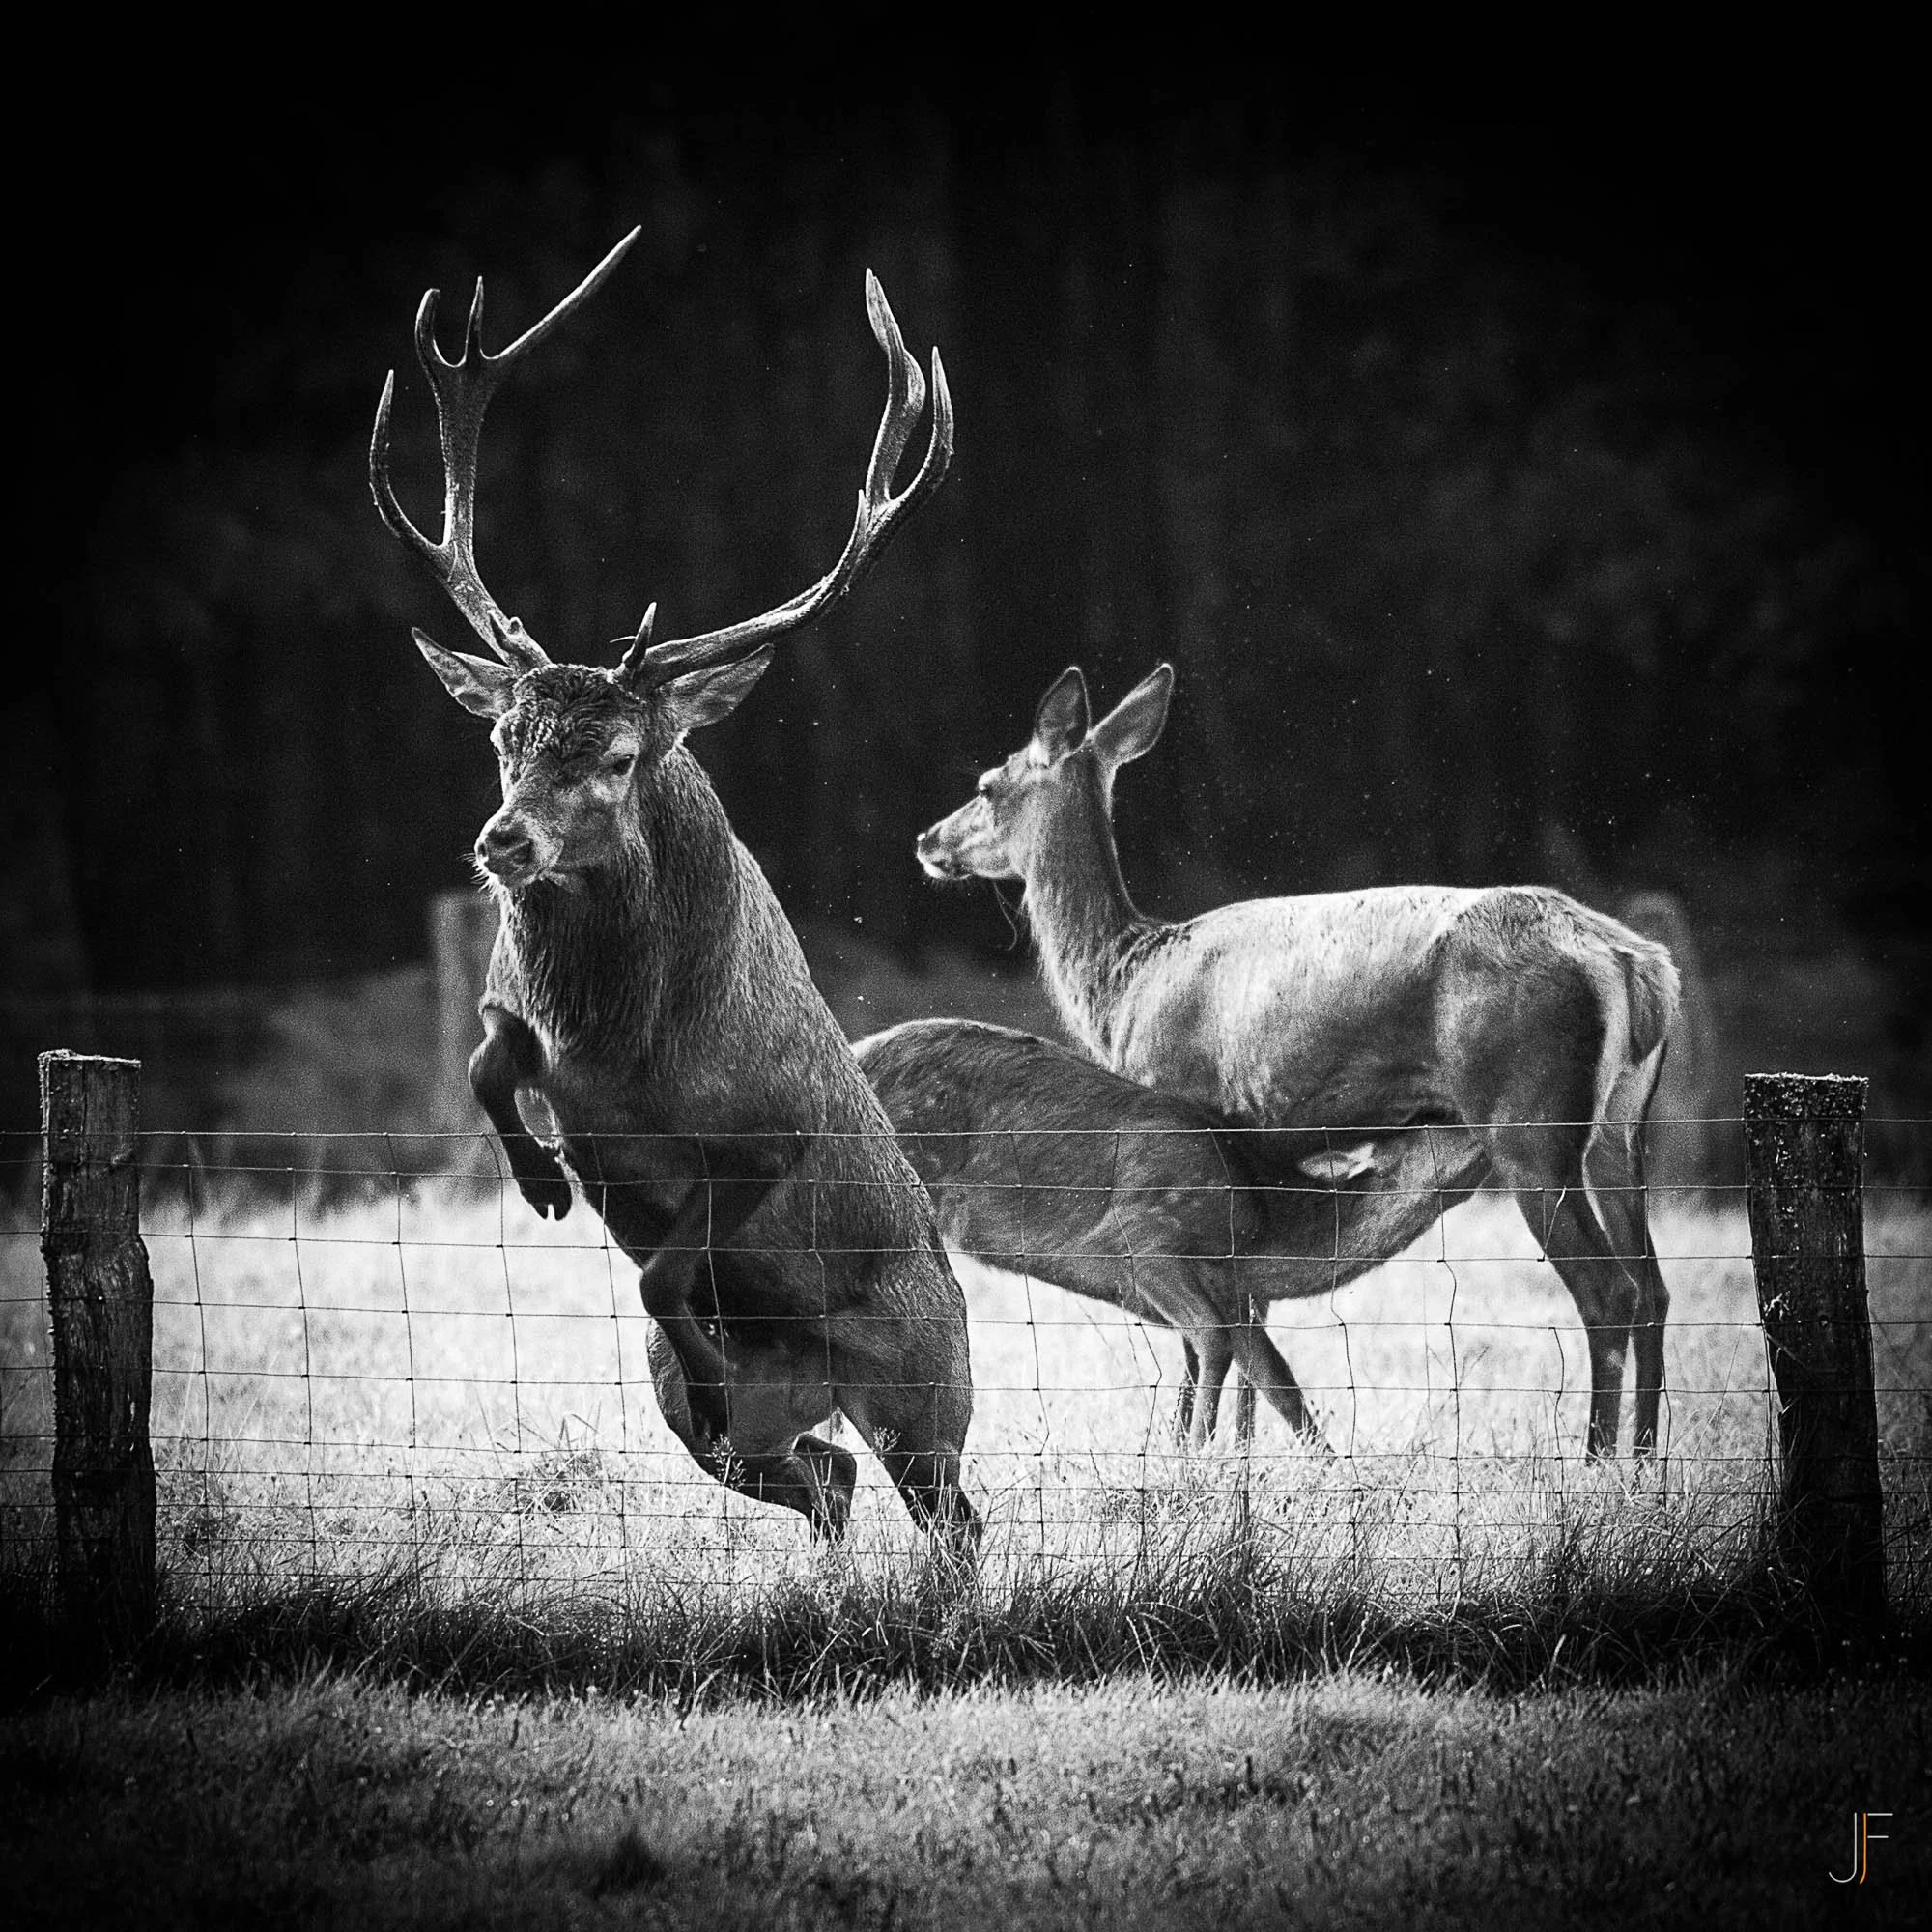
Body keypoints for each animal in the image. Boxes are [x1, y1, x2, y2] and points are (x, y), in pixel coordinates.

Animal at [370, 228, 976, 1547]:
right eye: (502, 736)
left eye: (614, 755)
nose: (501, 841)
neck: (628, 1044)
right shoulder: (535, 1040)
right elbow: (486, 1055)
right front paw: (542, 1183)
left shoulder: (767, 1131)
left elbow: (661, 1263)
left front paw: (693, 1333)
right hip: (746, 1438)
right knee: (824, 1478)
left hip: (928, 1381)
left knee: (948, 1510)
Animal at [915, 663, 1681, 1461]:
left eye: (987, 783)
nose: (927, 839)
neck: (1123, 984)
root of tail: (1636, 963)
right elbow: (1255, 1310)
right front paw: (1243, 1457)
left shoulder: (1178, 1106)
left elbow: (1206, 1335)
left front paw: (1197, 1450)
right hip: (1619, 1128)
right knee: (1655, 1289)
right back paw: (1643, 1463)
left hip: (1529, 1121)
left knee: (1609, 1292)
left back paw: (1595, 1462)